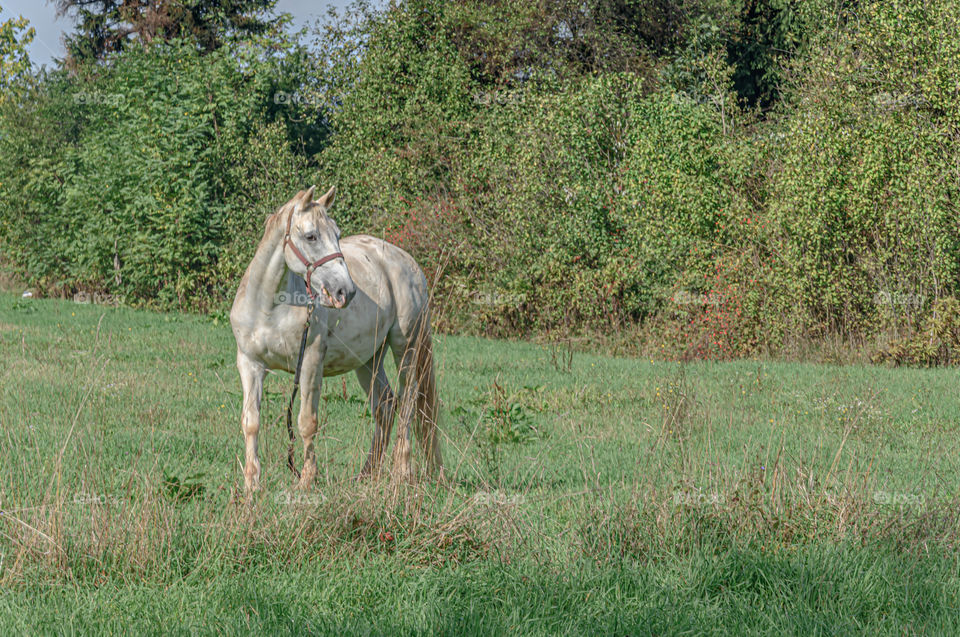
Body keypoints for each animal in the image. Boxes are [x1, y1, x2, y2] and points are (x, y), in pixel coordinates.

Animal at [229, 185, 443, 491]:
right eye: (311, 236)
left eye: (338, 234)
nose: (345, 291)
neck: (269, 307)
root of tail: (405, 260)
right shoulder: (250, 365)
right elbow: (251, 422)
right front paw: (252, 485)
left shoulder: (310, 364)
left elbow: (307, 422)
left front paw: (306, 481)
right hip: (369, 359)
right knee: (386, 406)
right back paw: (367, 474)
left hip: (407, 347)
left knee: (409, 402)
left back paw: (401, 472)